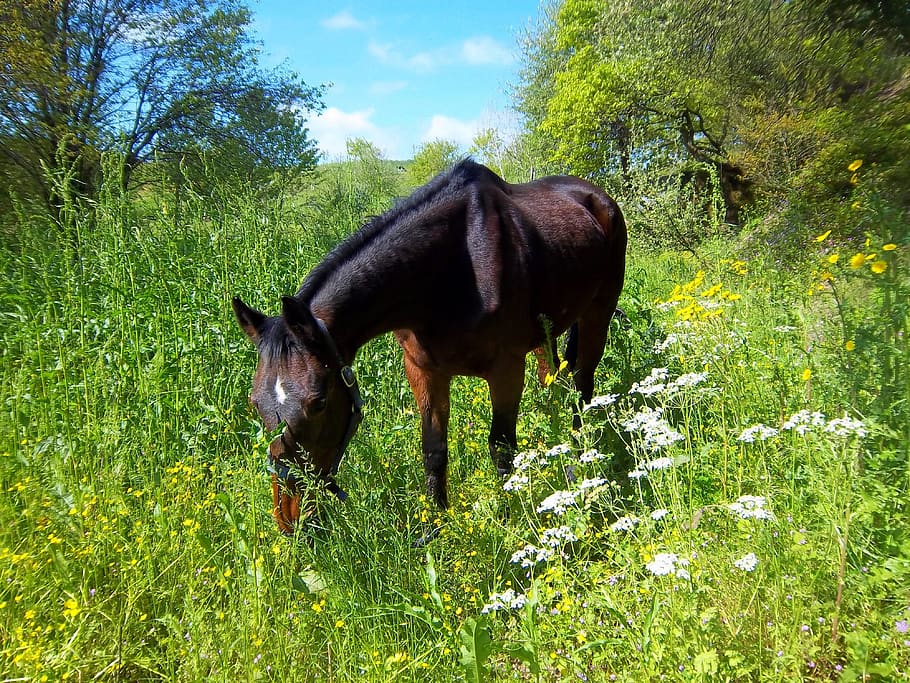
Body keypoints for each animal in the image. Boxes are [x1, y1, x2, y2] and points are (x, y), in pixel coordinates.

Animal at [233, 160, 627, 534]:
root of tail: (595, 197)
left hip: (598, 312)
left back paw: (579, 454)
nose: (289, 518)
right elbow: (434, 449)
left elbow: (501, 448)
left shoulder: (506, 370)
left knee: (582, 384)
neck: (451, 268)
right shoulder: (424, 370)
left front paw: (508, 516)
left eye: (318, 403)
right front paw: (438, 524)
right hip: (546, 331)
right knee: (553, 375)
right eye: (255, 403)